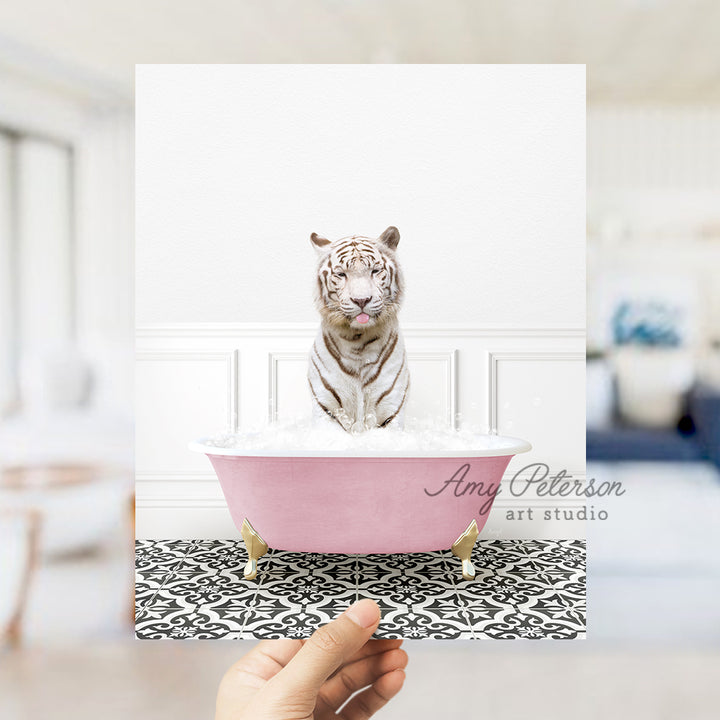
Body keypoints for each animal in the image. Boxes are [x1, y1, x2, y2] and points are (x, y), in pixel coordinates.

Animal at [308, 225, 410, 430]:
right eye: (341, 274)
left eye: (375, 271)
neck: (358, 340)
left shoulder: (391, 412)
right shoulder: (326, 408)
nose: (361, 300)